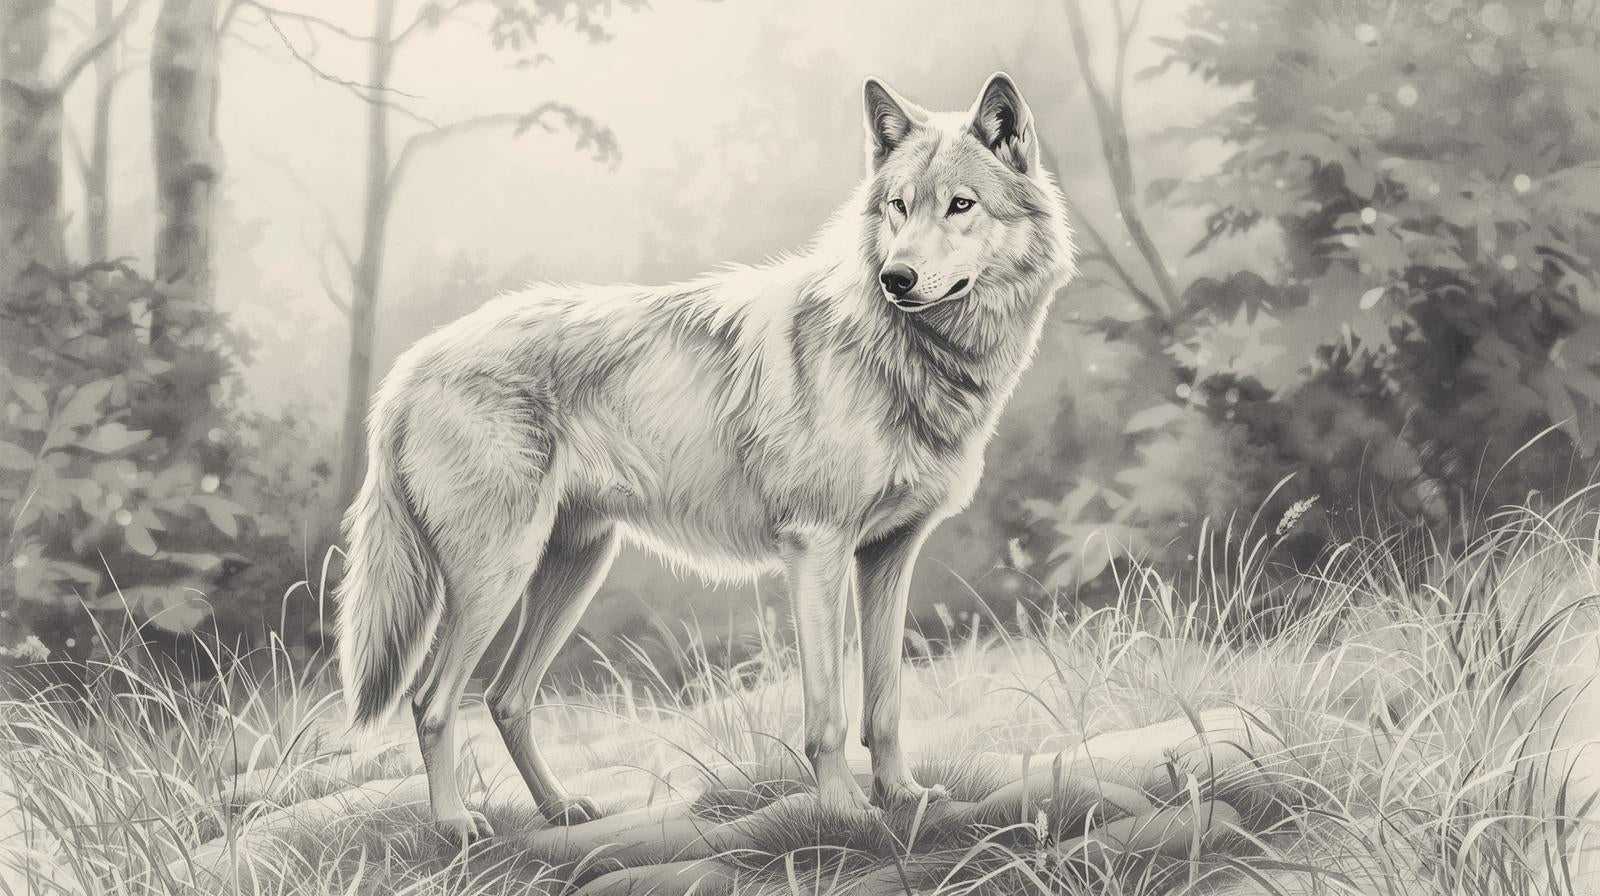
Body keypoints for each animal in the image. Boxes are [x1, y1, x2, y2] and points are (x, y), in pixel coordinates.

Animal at [336, 72, 1076, 842]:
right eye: (898, 207)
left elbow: (885, 705)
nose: (896, 278)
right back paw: (456, 824)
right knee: (431, 701)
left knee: (506, 698)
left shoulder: (886, 555)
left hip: (573, 567)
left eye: (960, 205)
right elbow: (829, 713)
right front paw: (844, 813)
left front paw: (902, 797)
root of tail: (408, 369)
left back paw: (561, 809)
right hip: (497, 575)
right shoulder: (817, 548)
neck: (905, 354)